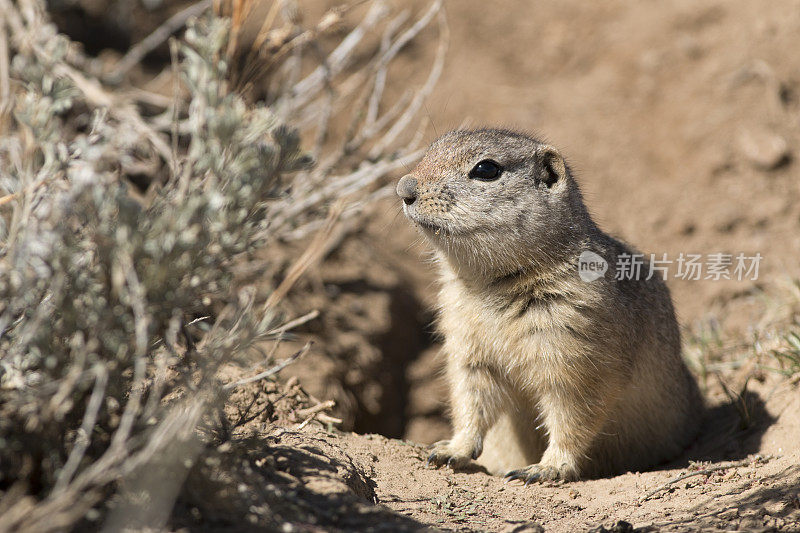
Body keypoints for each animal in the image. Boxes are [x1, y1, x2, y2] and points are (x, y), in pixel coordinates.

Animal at [396, 129, 704, 482]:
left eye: (486, 169)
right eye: (431, 149)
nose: (403, 188)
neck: (492, 284)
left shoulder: (574, 353)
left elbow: (572, 413)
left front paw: (546, 468)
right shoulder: (466, 348)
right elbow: (470, 400)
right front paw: (449, 451)